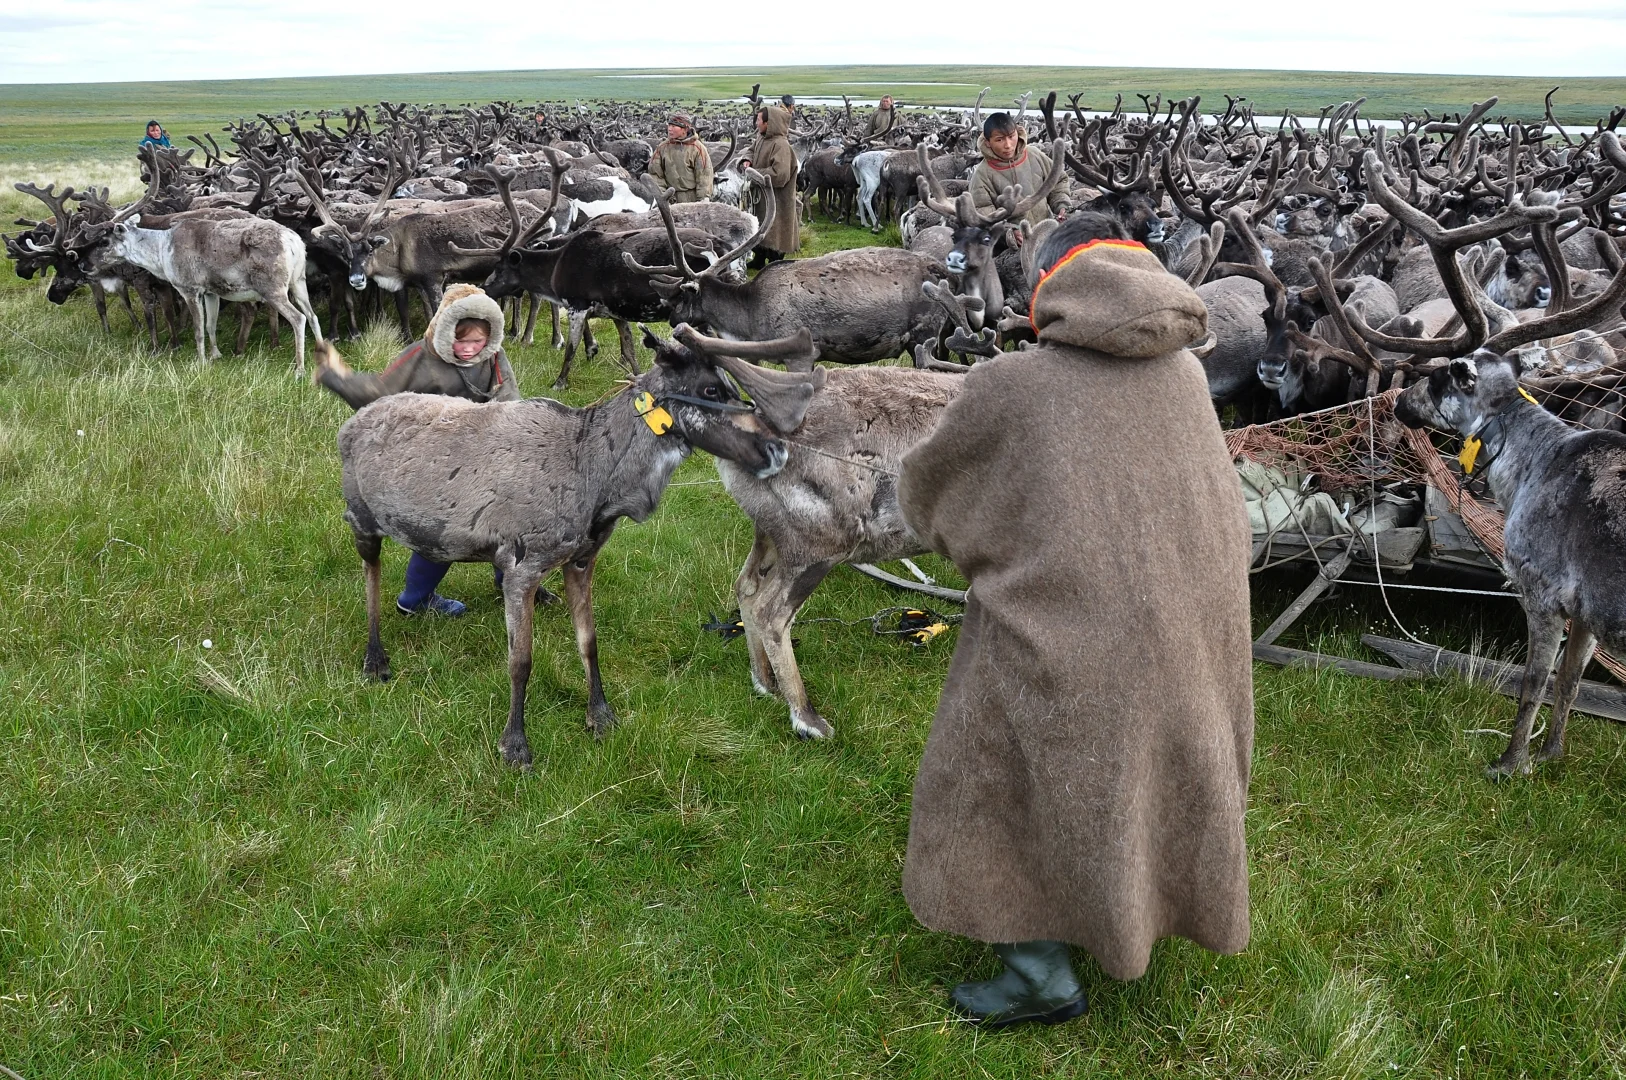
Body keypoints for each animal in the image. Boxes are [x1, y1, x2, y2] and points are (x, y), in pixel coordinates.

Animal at [337, 325, 820, 766]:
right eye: (710, 388)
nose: (778, 449)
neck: (600, 483)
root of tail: (350, 423)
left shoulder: (582, 559)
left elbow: (588, 641)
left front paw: (600, 715)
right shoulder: (523, 566)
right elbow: (521, 661)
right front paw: (515, 744)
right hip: (361, 519)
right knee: (370, 576)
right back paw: (374, 658)